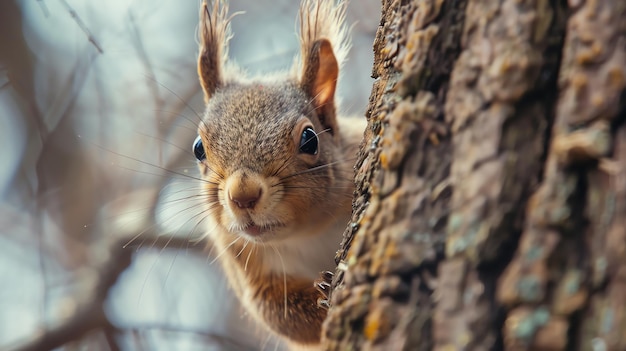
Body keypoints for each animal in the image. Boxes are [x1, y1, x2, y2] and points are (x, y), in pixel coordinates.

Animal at [191, 0, 366, 350]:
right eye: (198, 149)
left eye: (309, 139)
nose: (242, 195)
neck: (307, 234)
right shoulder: (245, 263)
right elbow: (280, 314)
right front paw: (324, 298)